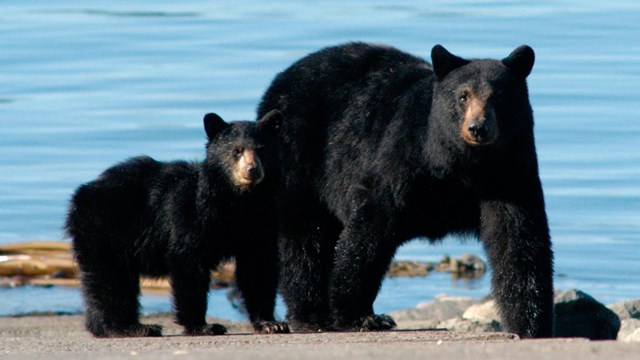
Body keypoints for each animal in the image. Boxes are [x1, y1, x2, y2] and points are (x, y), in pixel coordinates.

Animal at [65, 110, 288, 338]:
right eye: (236, 151)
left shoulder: (260, 221)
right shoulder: (191, 213)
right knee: (112, 280)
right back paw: (130, 327)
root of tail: (81, 194)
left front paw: (271, 323)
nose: (252, 170)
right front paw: (203, 326)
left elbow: (258, 266)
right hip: (104, 231)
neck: (240, 201)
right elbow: (188, 261)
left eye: (261, 149)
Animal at [258, 42, 552, 338]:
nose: (478, 128)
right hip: (299, 158)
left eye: (500, 96)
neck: (464, 165)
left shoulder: (510, 174)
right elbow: (370, 229)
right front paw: (355, 315)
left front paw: (529, 323)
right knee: (304, 238)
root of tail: (283, 77)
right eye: (463, 96)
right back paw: (311, 315)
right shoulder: (404, 159)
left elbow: (518, 241)